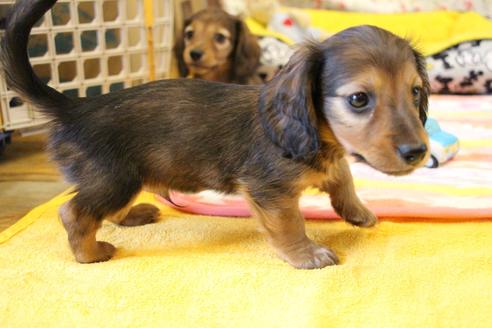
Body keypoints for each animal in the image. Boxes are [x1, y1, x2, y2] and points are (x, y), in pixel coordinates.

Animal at [1, 0, 428, 270]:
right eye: (358, 99)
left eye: (415, 91)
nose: (418, 152)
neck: (315, 135)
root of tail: (76, 107)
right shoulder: (269, 192)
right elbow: (290, 224)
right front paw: (305, 255)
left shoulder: (331, 163)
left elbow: (344, 177)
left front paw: (358, 212)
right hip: (114, 177)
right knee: (74, 212)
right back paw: (90, 254)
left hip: (124, 178)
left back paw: (132, 216)